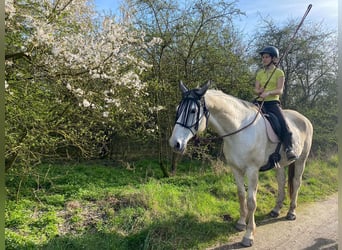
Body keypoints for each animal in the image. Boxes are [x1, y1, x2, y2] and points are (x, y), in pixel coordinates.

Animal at [168, 81, 312, 247]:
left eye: (192, 110)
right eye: (178, 109)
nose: (175, 144)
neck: (239, 129)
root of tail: (304, 119)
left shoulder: (252, 170)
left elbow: (251, 201)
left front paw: (248, 235)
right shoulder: (236, 169)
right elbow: (241, 195)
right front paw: (241, 223)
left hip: (301, 160)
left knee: (296, 182)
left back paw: (291, 212)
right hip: (280, 164)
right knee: (281, 182)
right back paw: (276, 210)